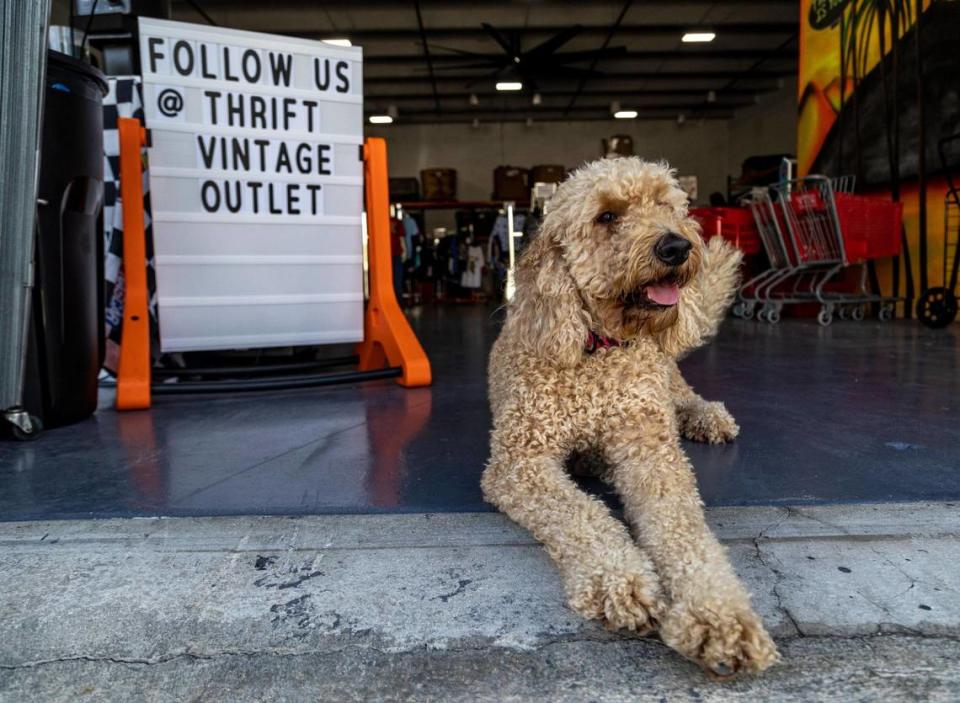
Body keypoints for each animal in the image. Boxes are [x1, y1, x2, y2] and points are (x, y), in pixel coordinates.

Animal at [488, 157, 780, 680]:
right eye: (607, 216)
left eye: (667, 204)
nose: (676, 246)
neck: (596, 348)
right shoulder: (520, 463)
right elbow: (583, 515)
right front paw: (621, 583)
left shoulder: (650, 453)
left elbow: (682, 527)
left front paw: (719, 615)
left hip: (666, 376)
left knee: (686, 394)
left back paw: (708, 417)